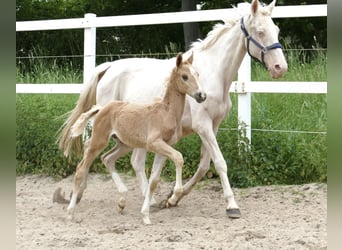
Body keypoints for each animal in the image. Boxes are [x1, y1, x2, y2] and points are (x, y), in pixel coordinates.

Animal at [67, 53, 206, 225]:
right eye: (185, 76)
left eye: (197, 74)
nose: (202, 95)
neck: (167, 112)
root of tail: (102, 108)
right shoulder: (154, 143)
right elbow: (179, 157)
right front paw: (175, 193)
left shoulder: (164, 146)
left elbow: (154, 181)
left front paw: (146, 215)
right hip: (99, 140)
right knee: (81, 168)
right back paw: (70, 212)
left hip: (124, 144)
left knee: (107, 158)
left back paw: (122, 200)